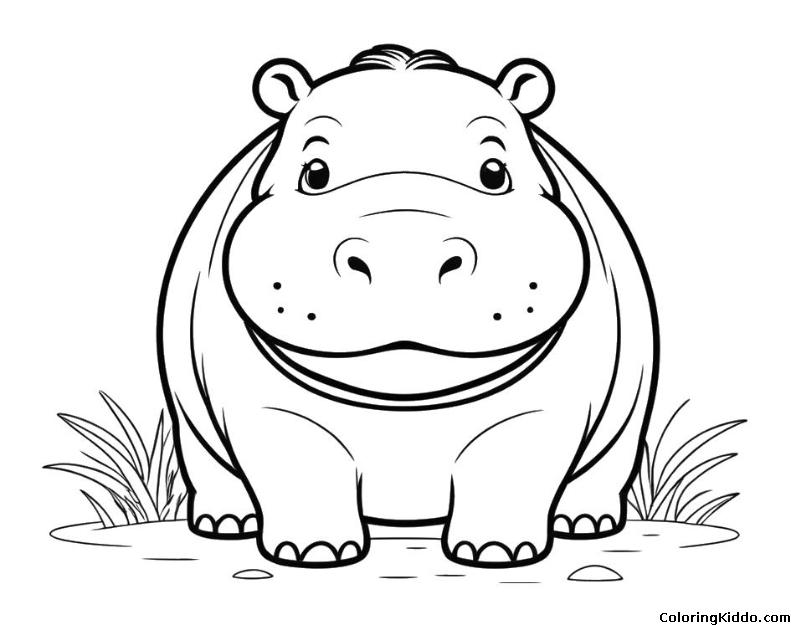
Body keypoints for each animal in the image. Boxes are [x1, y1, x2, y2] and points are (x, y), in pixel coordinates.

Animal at [157, 44, 658, 568]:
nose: (405, 247)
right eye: (314, 173)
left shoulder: (540, 411)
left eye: (494, 173)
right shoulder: (270, 410)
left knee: (610, 456)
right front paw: (313, 552)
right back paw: (225, 524)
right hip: (185, 402)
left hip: (635, 389)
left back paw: (586, 523)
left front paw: (497, 552)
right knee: (207, 458)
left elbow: (508, 466)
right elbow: (302, 465)